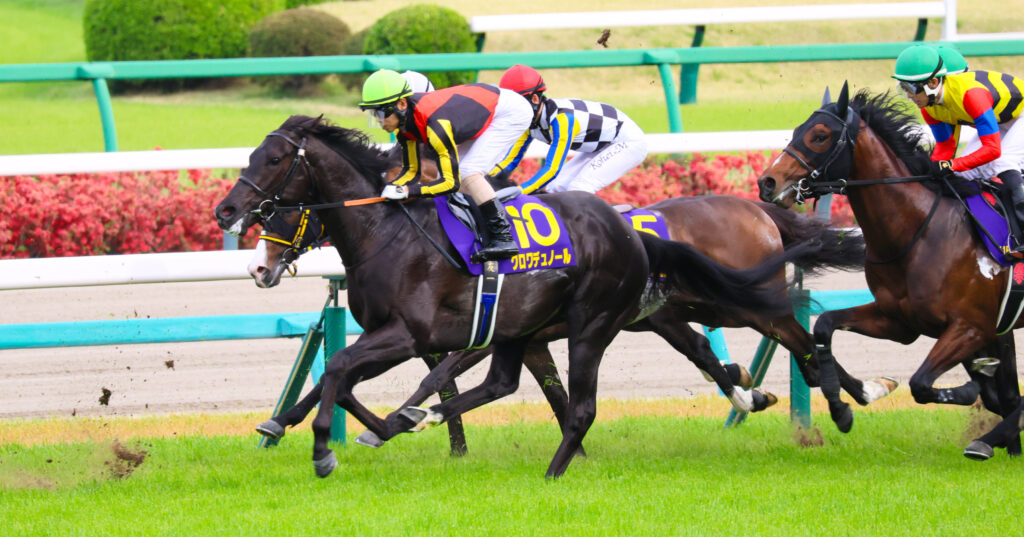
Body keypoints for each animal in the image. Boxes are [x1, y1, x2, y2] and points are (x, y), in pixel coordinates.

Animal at [215, 115, 812, 478]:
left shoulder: (415, 335)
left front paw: (330, 446)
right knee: (699, 350)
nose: (227, 213)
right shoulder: (480, 334)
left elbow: (350, 371)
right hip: (612, 320)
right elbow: (338, 380)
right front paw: (302, 424)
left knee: (758, 336)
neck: (392, 233)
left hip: (651, 314)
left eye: (274, 163)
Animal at [756, 84, 1021, 455]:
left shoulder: (971, 327)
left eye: (820, 136)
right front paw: (841, 410)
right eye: (796, 131)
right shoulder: (899, 321)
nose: (767, 182)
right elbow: (823, 326)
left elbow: (922, 383)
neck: (917, 233)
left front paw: (972, 394)